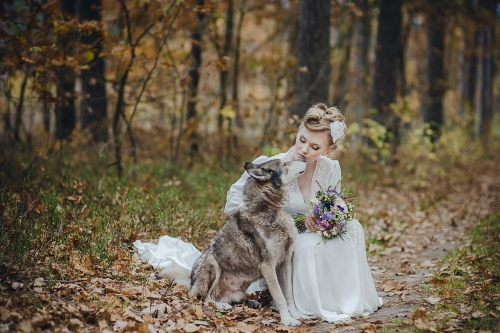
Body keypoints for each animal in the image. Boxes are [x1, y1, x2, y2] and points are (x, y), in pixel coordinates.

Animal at [159, 158, 308, 324]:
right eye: (285, 164)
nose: (303, 158)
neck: (270, 210)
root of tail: (191, 281)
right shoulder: (268, 266)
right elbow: (280, 296)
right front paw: (287, 320)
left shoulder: (286, 262)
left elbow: (289, 295)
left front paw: (296, 315)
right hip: (211, 263)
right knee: (204, 298)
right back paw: (221, 305)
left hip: (239, 289)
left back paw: (251, 302)